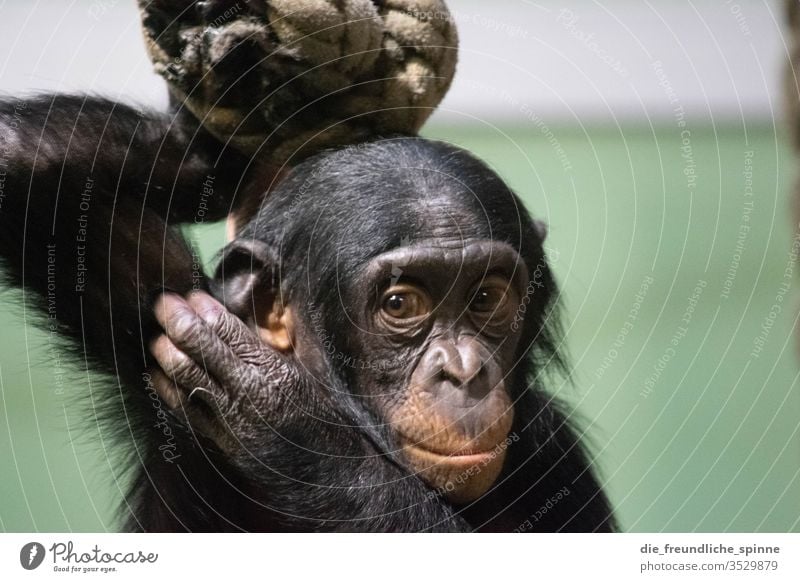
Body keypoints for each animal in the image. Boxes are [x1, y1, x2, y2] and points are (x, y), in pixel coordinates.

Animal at [0, 96, 616, 532]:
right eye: (400, 304)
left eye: (485, 298)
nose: (463, 370)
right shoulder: (153, 300)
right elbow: (27, 165)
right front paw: (212, 140)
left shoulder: (559, 461)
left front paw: (285, 420)